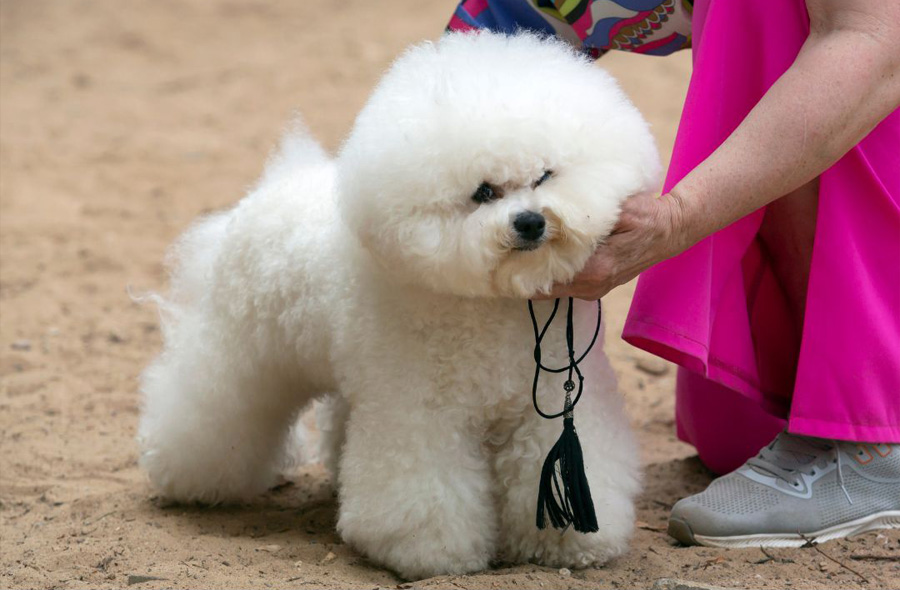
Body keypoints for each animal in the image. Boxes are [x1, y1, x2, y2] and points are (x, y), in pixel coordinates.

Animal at [141, 30, 660, 580]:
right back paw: (189, 478)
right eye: (483, 192)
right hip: (238, 353)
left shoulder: (544, 408)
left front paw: (568, 548)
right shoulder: (422, 411)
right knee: (207, 410)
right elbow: (425, 490)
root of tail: (276, 185)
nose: (530, 223)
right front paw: (433, 554)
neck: (494, 303)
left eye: (545, 176)